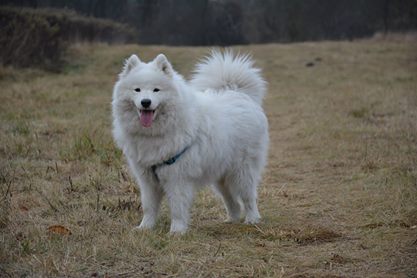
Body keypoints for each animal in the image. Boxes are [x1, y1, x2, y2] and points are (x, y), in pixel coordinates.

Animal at [111, 51, 266, 233]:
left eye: (156, 90)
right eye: (137, 90)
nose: (146, 102)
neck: (155, 133)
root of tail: (240, 94)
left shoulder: (177, 177)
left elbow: (177, 207)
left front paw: (177, 231)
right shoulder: (147, 179)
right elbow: (149, 206)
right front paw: (145, 227)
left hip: (242, 171)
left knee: (248, 197)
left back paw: (252, 219)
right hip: (221, 174)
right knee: (231, 200)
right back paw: (231, 219)